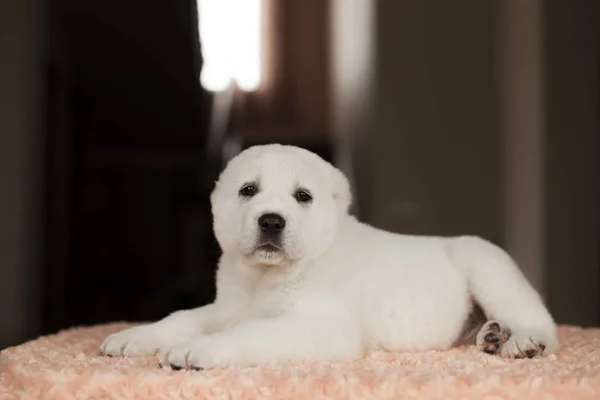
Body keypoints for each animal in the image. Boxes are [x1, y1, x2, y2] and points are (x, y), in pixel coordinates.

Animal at [101, 143, 560, 368]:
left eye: (303, 196)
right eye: (248, 190)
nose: (271, 221)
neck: (266, 278)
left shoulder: (323, 326)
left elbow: (251, 334)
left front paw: (197, 350)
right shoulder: (228, 307)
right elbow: (183, 318)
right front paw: (132, 338)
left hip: (486, 265)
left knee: (539, 320)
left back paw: (520, 341)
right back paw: (490, 335)